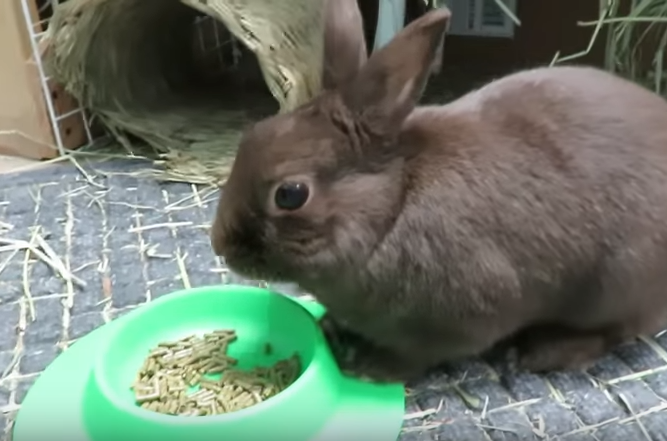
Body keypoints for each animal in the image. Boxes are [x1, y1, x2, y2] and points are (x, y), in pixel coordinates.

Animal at [210, 7, 667, 383]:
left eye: (290, 194)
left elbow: (419, 357)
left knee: (618, 331)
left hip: (615, 285)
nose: (219, 245)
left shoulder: (459, 321)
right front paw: (332, 331)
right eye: (251, 136)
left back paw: (541, 354)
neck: (392, 206)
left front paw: (372, 367)